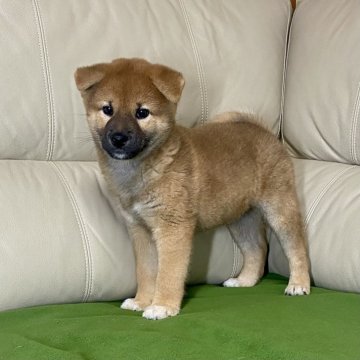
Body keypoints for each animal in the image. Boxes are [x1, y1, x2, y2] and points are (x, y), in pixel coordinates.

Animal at [74, 57, 310, 320]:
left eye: (142, 112)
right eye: (107, 110)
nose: (118, 138)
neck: (144, 168)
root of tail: (265, 132)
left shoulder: (172, 228)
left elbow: (168, 273)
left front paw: (162, 306)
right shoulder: (140, 230)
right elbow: (146, 272)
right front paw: (142, 301)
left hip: (279, 208)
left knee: (297, 248)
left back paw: (298, 284)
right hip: (240, 218)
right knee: (257, 249)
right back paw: (244, 281)